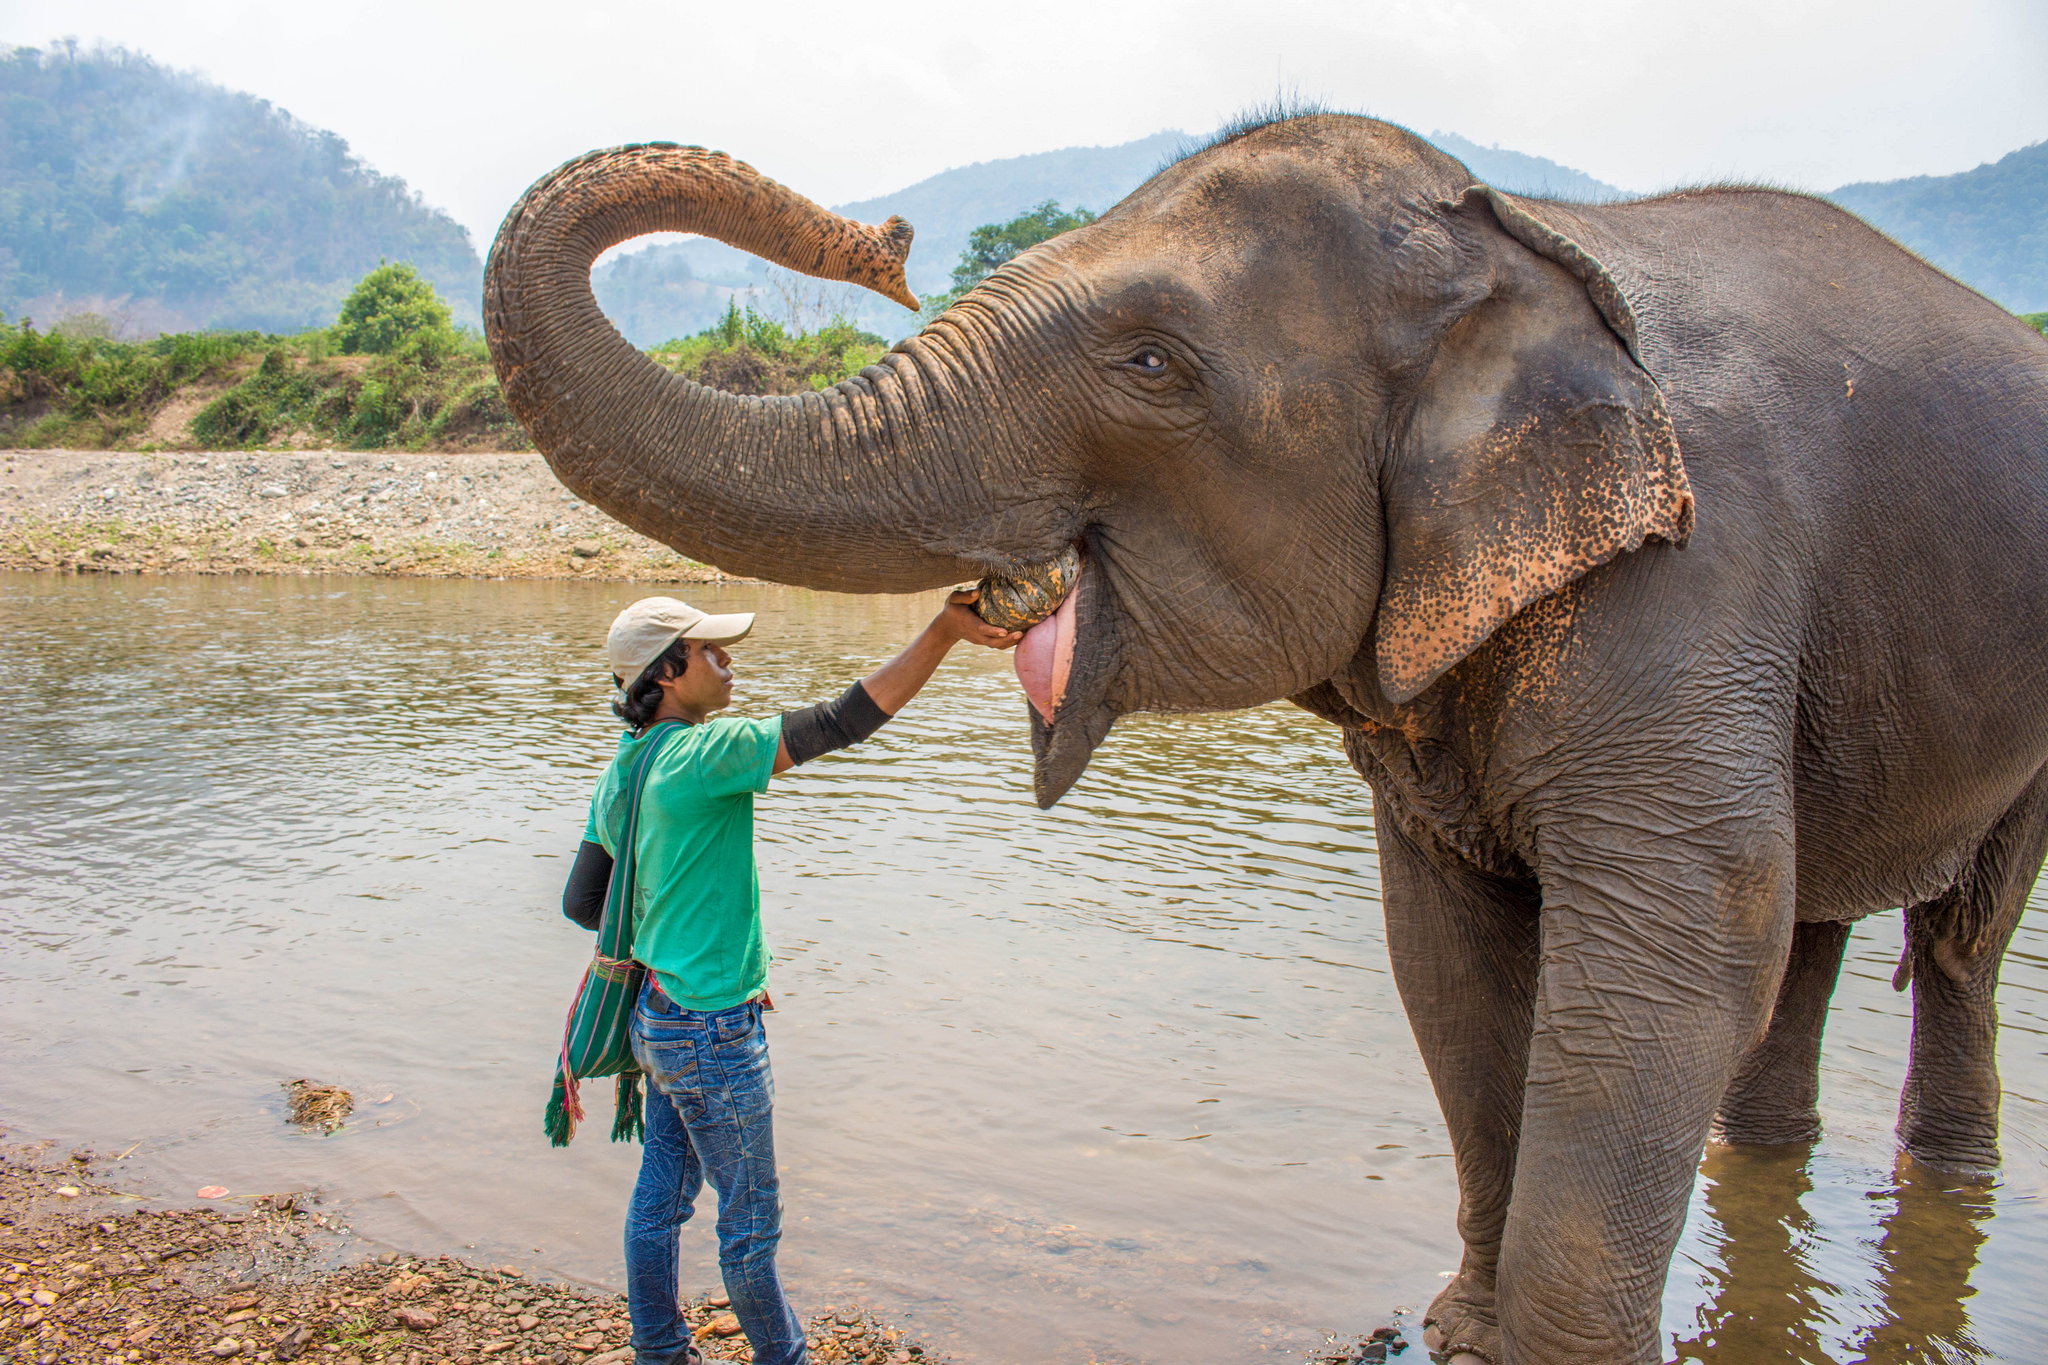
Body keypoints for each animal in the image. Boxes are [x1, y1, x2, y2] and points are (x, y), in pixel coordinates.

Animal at [482, 114, 2048, 1364]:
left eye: (1152, 360)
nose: (888, 240)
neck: (1516, 236)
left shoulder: (1696, 579)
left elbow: (1678, 941)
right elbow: (1448, 952)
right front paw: (1464, 1336)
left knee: (1952, 940)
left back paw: (1950, 1180)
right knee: (1818, 925)